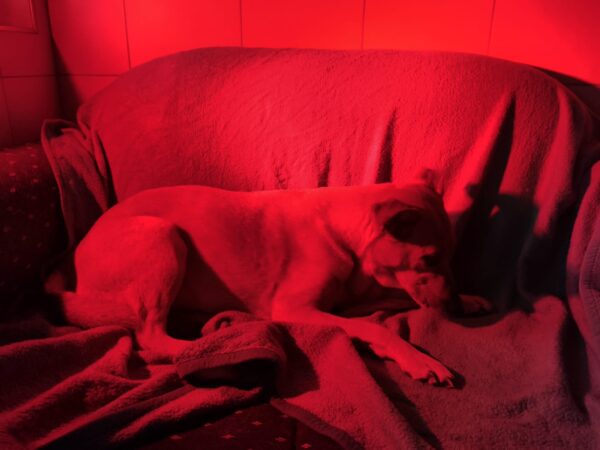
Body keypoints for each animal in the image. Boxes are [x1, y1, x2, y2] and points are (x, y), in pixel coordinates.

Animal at [45, 173, 491, 387]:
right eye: (429, 258)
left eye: (452, 255)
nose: (454, 307)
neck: (344, 232)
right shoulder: (297, 307)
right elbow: (373, 327)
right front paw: (420, 360)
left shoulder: (352, 296)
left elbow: (390, 303)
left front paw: (471, 299)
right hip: (164, 237)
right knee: (150, 337)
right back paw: (204, 343)